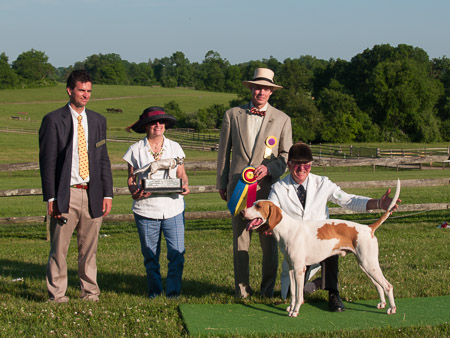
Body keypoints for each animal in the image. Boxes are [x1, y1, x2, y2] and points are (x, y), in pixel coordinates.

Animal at [241, 180, 400, 316]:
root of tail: (368, 228)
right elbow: (292, 293)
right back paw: (382, 303)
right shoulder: (292, 269)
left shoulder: (299, 269)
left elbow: (299, 295)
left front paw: (295, 311)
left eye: (258, 206)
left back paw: (392, 308)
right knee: (378, 285)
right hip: (365, 266)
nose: (242, 212)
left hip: (369, 264)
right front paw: (290, 309)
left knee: (388, 286)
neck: (287, 229)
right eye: (253, 204)